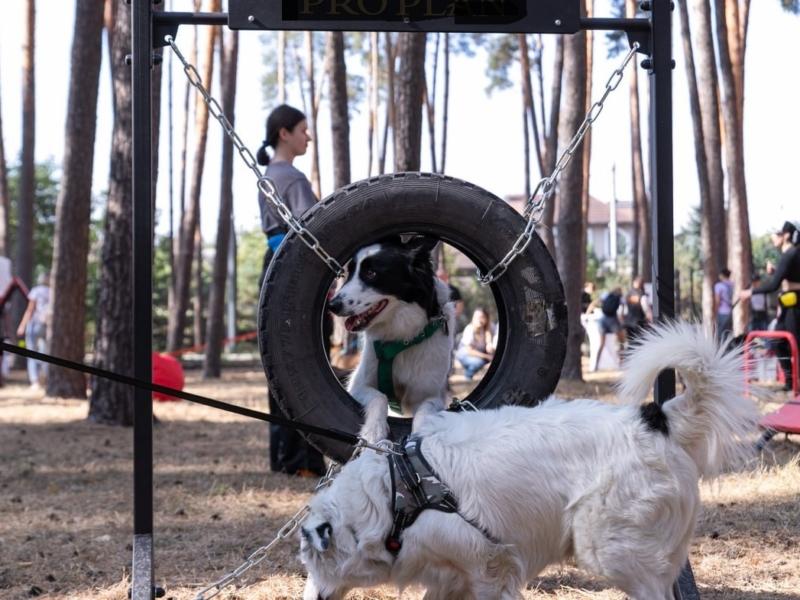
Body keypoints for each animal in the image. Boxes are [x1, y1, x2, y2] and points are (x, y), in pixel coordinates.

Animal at [298, 324, 756, 600]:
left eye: (310, 561)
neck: (396, 494)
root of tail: (657, 418)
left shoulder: (489, 564)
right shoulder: (449, 574)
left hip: (610, 549)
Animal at [326, 236, 456, 440]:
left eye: (371, 273)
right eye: (350, 273)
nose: (332, 305)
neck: (402, 336)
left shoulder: (431, 395)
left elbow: (424, 410)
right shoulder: (357, 385)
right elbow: (380, 397)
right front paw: (374, 431)